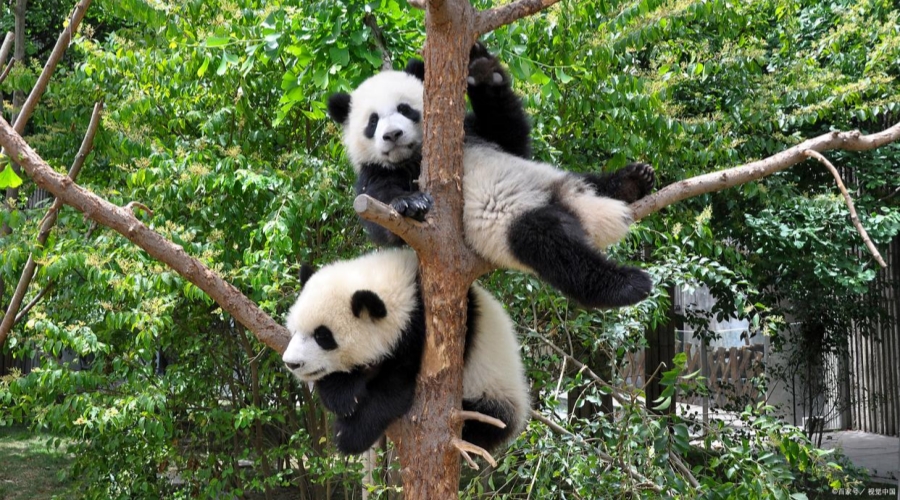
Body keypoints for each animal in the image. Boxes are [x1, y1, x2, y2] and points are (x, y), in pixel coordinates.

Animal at [282, 248, 531, 455]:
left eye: (323, 336)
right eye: (294, 329)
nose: (292, 363)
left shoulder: (426, 335)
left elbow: (395, 388)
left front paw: (350, 435)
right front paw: (341, 394)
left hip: (492, 391)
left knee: (483, 421)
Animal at [327, 70, 655, 309]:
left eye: (405, 109)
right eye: (372, 121)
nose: (393, 135)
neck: (415, 156)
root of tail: (573, 204)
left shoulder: (473, 133)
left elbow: (511, 136)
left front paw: (486, 75)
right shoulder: (377, 173)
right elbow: (383, 219)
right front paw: (410, 204)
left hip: (559, 179)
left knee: (591, 183)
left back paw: (633, 181)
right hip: (511, 223)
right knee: (554, 247)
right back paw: (627, 284)